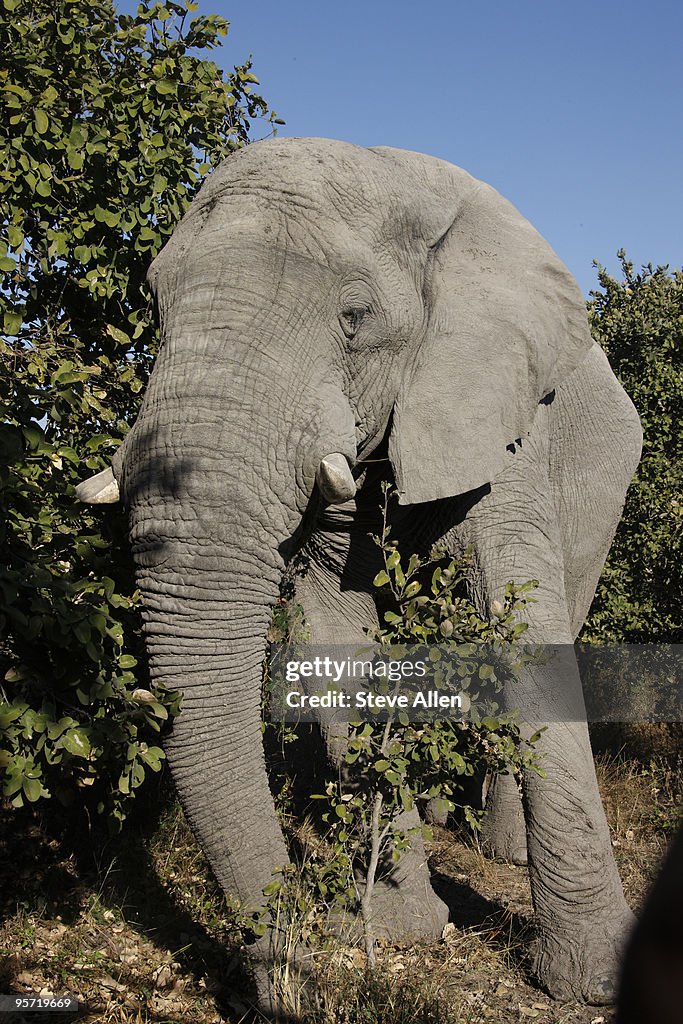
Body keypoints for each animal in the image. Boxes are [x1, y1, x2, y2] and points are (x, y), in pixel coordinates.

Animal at [77, 140, 643, 1011]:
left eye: (354, 318)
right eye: (156, 304)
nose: (292, 979)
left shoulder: (495, 413)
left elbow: (518, 622)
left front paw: (589, 984)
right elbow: (338, 634)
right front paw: (396, 929)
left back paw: (500, 852)